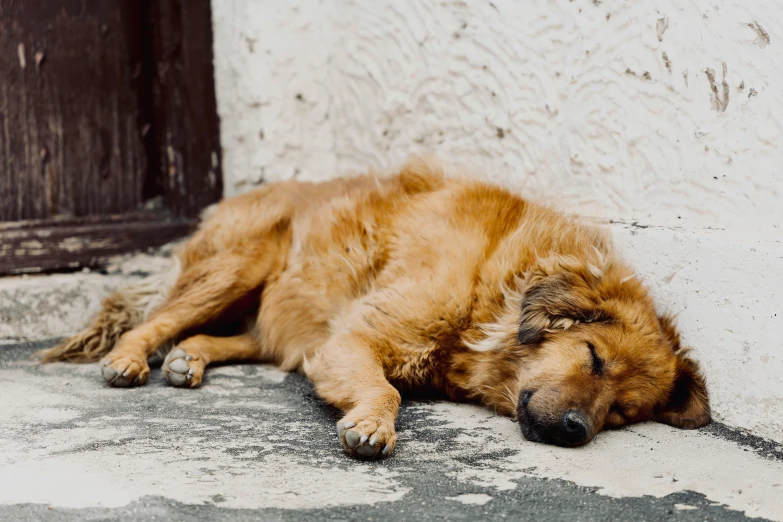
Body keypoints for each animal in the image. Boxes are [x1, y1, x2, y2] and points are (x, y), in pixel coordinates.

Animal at [41, 157, 712, 456]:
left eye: (621, 412)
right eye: (593, 357)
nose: (576, 431)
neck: (490, 290)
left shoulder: (331, 341)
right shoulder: (353, 339)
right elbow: (384, 389)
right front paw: (373, 423)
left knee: (244, 340)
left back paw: (190, 359)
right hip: (239, 266)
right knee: (158, 317)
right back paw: (132, 359)